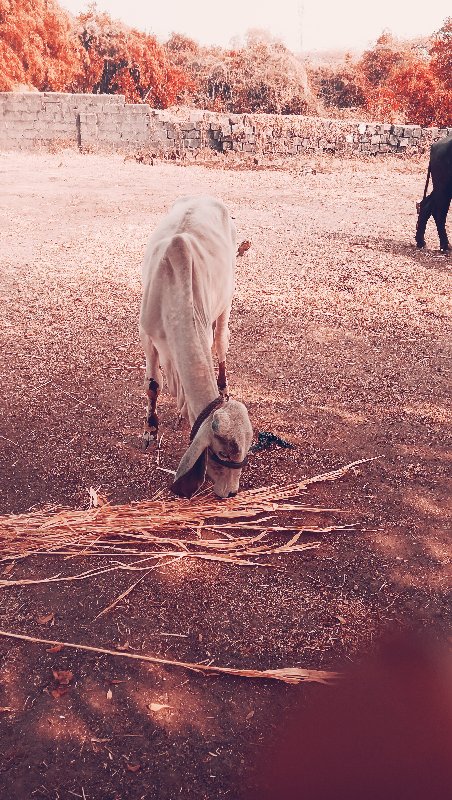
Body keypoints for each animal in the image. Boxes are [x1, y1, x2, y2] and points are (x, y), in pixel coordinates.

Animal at [139, 197, 252, 496]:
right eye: (222, 453)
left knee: (221, 343)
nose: (230, 492)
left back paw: (222, 386)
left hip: (226, 300)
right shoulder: (147, 337)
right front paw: (150, 430)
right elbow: (153, 386)